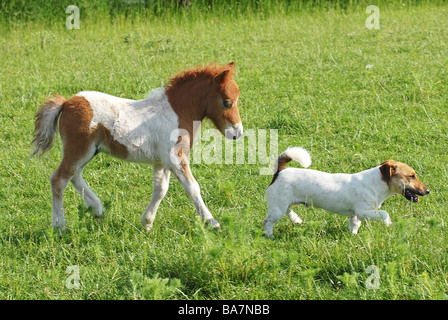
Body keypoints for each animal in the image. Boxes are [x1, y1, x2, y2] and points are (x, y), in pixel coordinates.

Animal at [32, 61, 243, 234]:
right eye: (227, 102)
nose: (237, 132)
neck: (176, 112)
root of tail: (66, 103)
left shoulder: (162, 162)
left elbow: (161, 189)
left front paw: (147, 223)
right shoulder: (176, 158)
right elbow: (192, 187)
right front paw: (212, 222)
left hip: (88, 151)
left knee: (74, 176)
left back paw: (97, 209)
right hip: (79, 150)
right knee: (59, 179)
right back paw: (60, 226)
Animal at [264, 147, 428, 235]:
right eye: (411, 176)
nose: (427, 191)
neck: (376, 184)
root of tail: (280, 171)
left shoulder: (355, 215)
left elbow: (354, 225)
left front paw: (353, 236)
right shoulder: (364, 211)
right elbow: (384, 214)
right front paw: (388, 224)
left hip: (286, 203)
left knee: (287, 211)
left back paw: (296, 219)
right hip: (278, 207)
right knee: (268, 221)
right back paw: (270, 235)